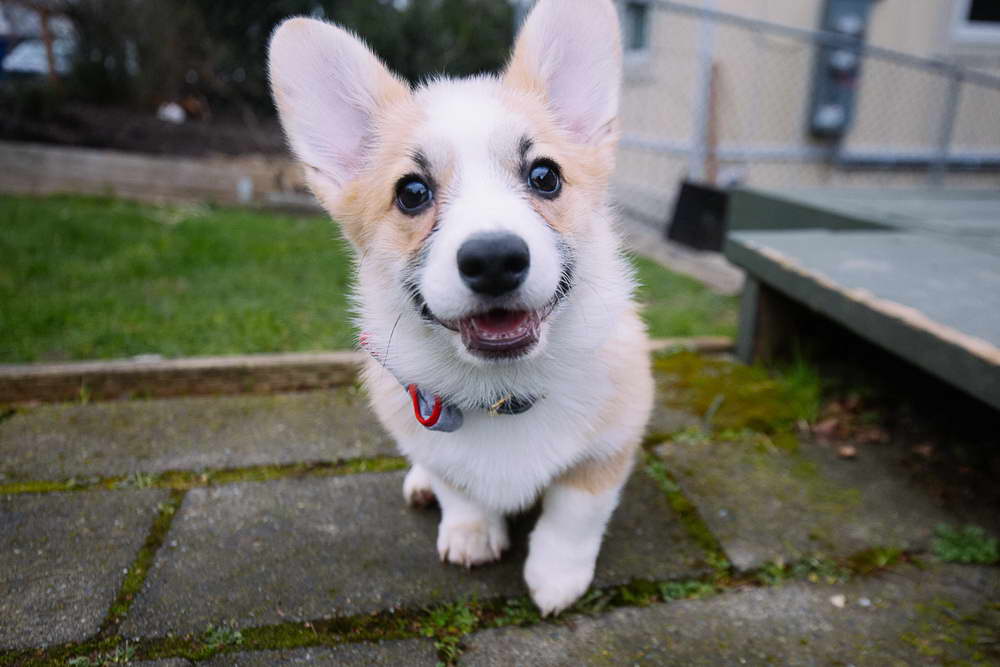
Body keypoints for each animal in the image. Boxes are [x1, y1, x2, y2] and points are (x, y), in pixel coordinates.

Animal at [268, 0, 656, 616]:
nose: (494, 259)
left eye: (545, 175)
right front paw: (472, 535)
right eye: (412, 192)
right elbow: (460, 490)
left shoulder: (610, 446)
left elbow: (574, 511)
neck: (503, 392)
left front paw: (556, 578)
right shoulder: (426, 434)